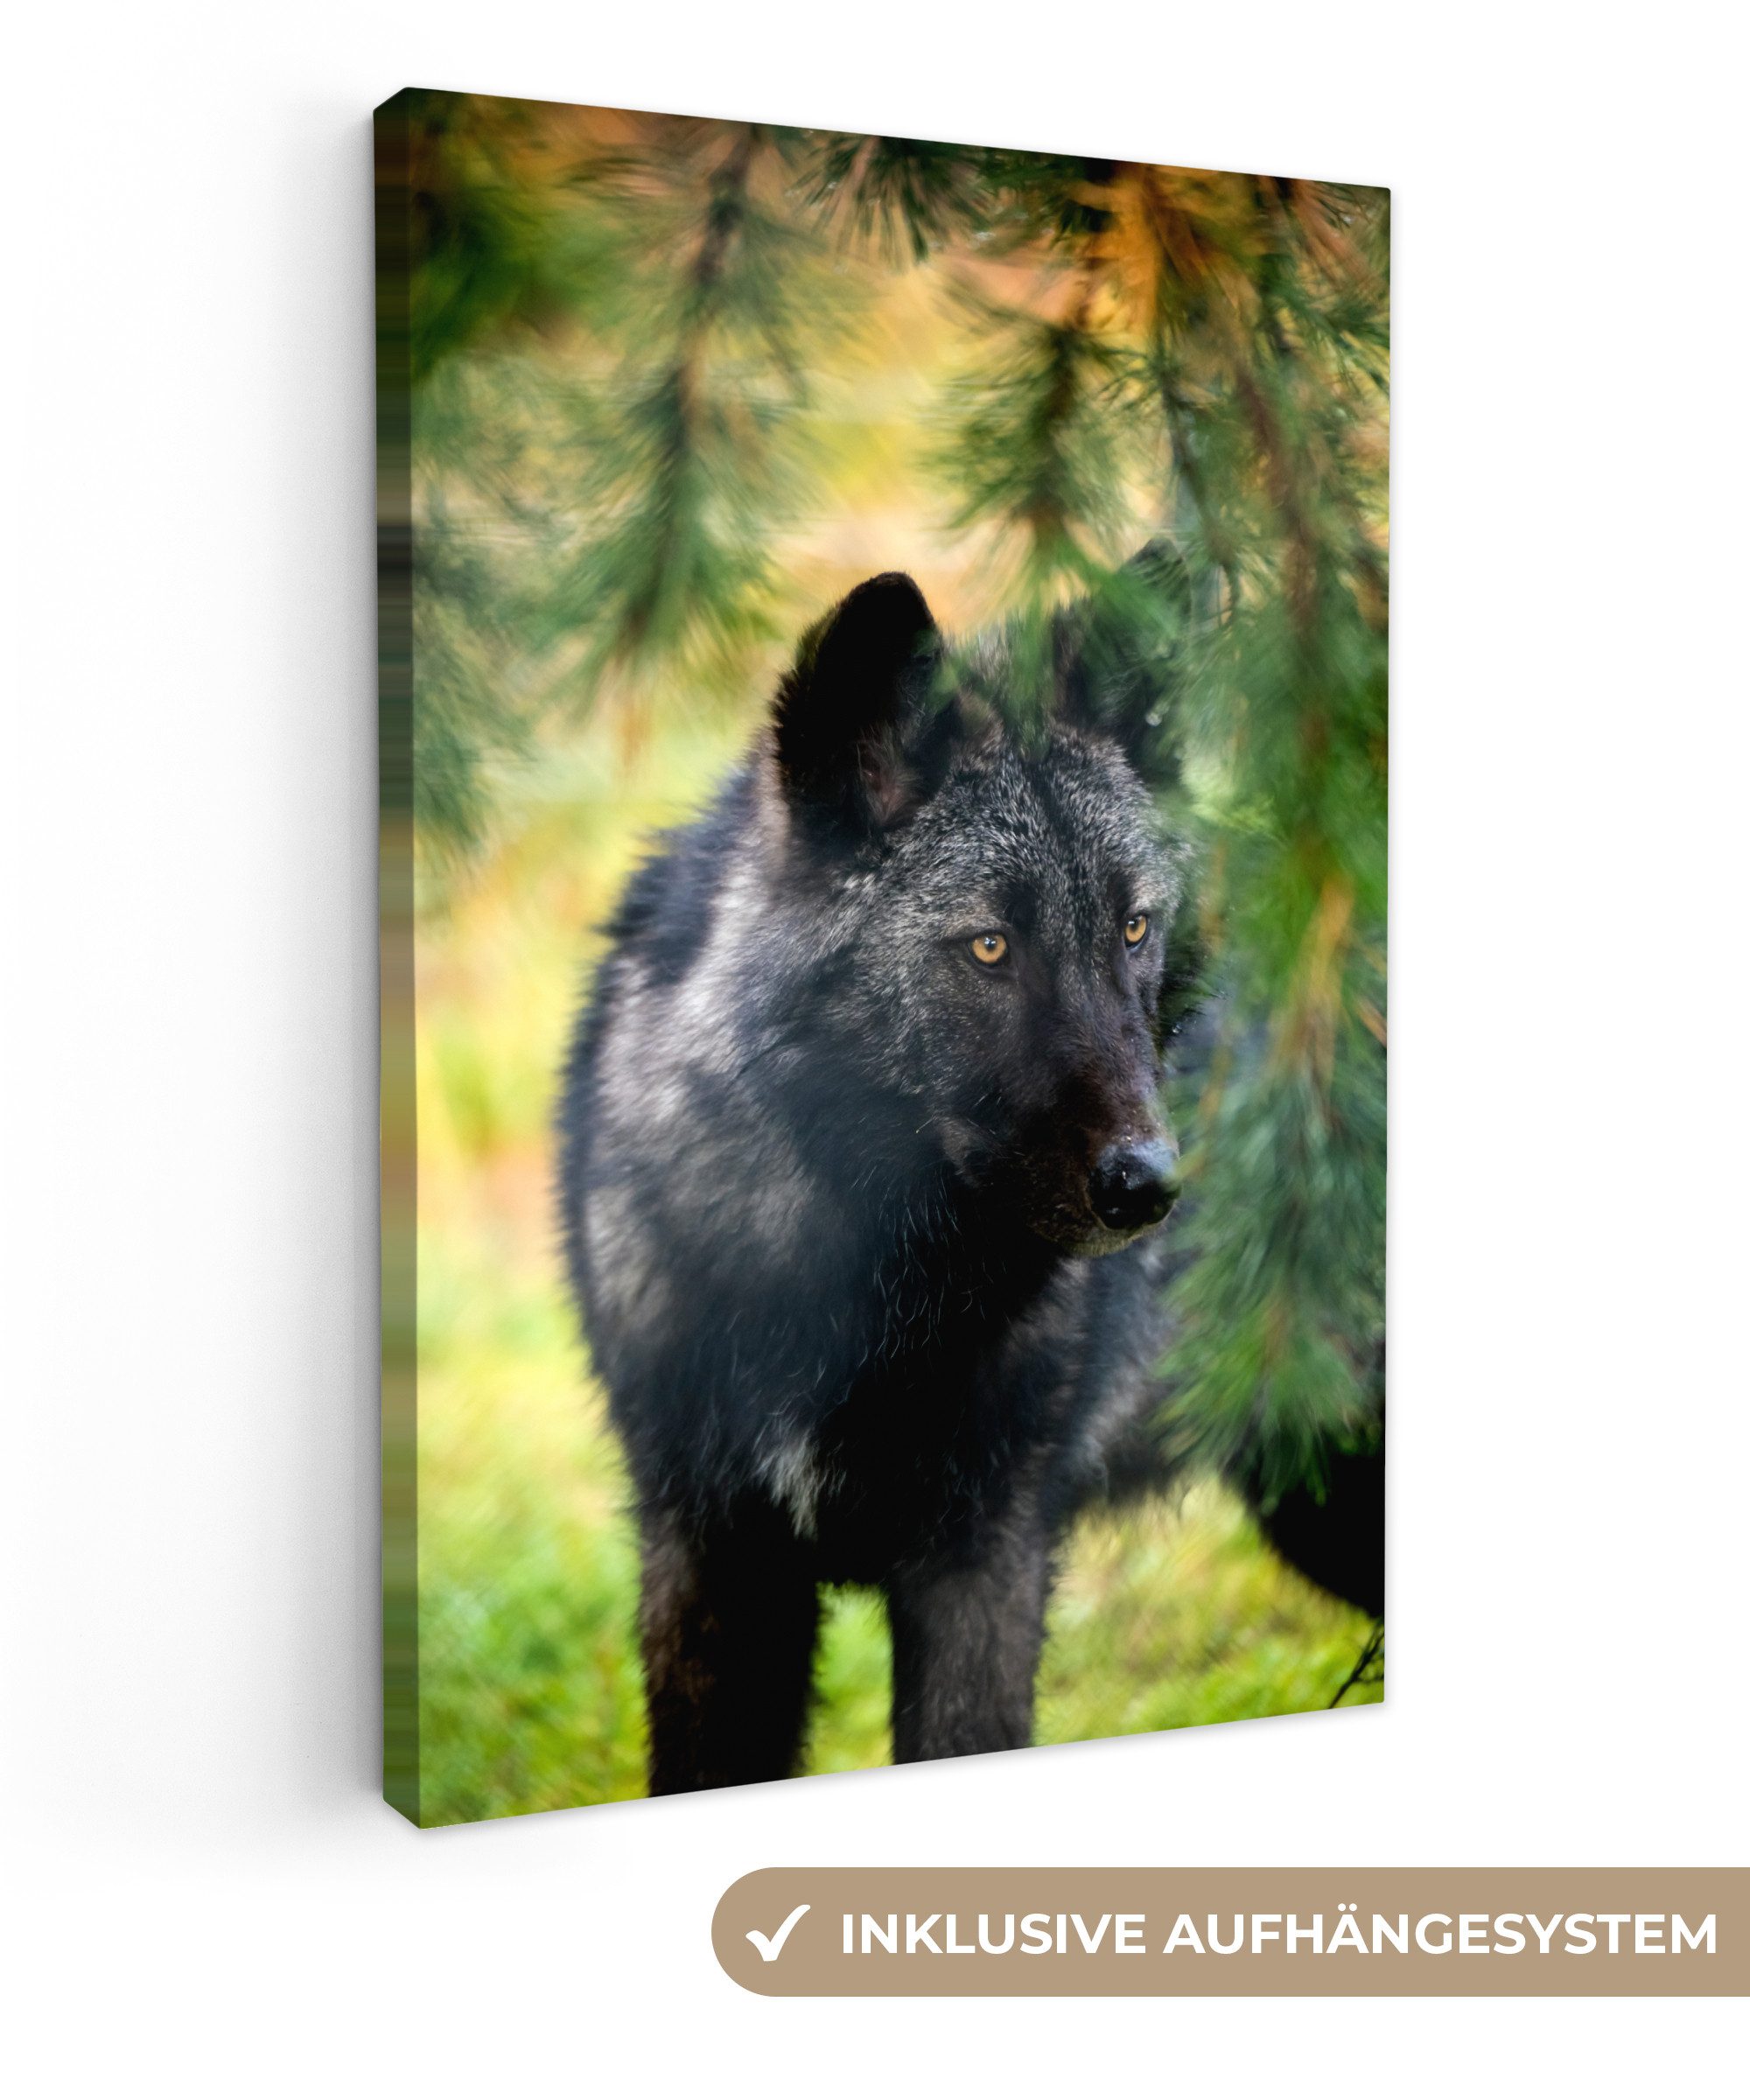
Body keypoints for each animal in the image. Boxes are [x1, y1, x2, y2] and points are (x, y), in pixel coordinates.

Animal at [558, 553, 1209, 1794]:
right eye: (989, 946)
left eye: (1131, 928)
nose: (1147, 1185)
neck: (849, 1290)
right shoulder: (711, 1559)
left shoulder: (984, 1561)